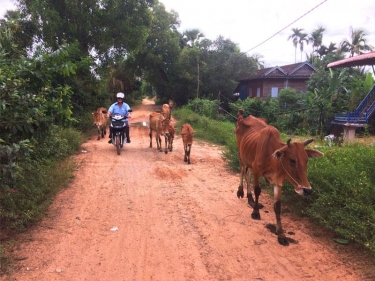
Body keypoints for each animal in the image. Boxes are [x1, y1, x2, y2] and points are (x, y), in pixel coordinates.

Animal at [238, 115, 324, 244]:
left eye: (306, 160)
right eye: (292, 160)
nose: (307, 190)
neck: (272, 158)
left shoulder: (278, 182)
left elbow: (277, 206)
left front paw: (281, 233)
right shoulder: (257, 171)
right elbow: (257, 191)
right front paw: (256, 212)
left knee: (247, 175)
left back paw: (250, 200)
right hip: (241, 156)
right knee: (243, 171)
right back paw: (240, 192)